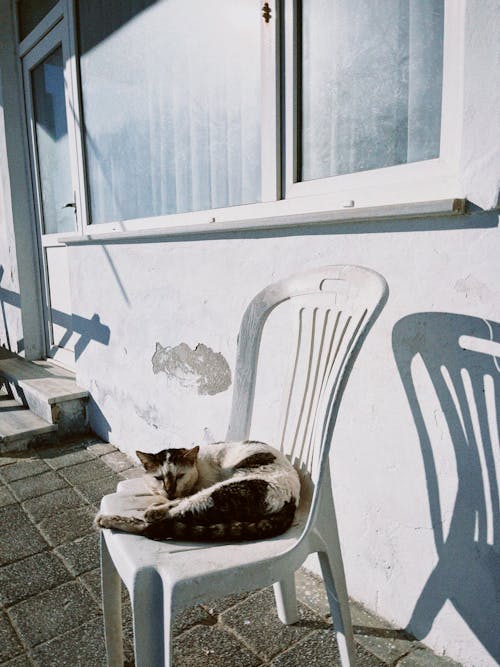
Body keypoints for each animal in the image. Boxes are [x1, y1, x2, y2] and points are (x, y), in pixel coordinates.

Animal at [95, 438, 298, 544]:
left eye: (180, 476)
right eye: (159, 478)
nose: (169, 490)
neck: (199, 465)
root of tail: (293, 500)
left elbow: (177, 501)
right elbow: (174, 499)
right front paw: (161, 501)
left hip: (218, 493)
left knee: (160, 522)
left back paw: (109, 519)